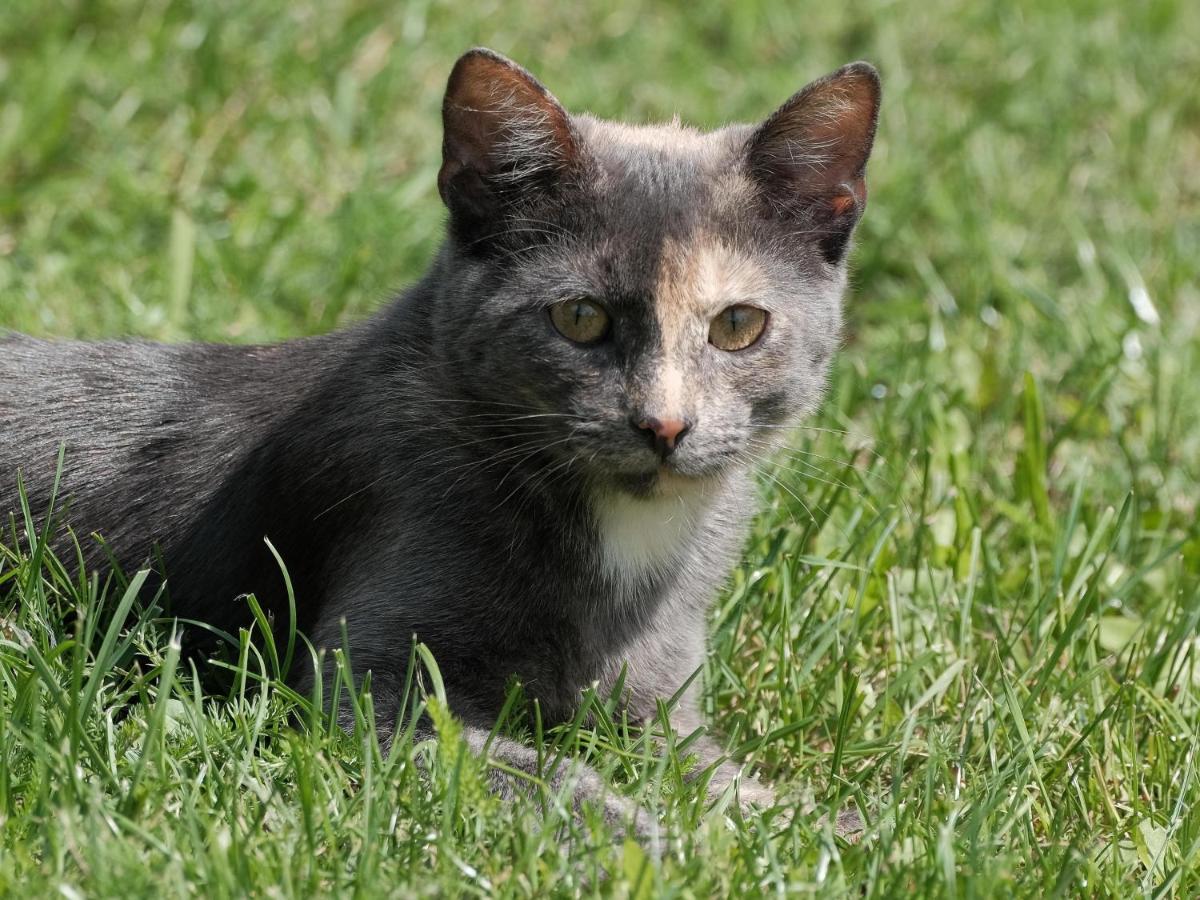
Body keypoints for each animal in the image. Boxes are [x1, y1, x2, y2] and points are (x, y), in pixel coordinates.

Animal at [0, 47, 883, 840]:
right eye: (580, 317)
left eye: (738, 325)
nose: (663, 424)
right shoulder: (367, 692)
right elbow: (516, 765)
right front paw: (650, 840)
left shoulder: (660, 708)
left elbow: (716, 774)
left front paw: (824, 827)